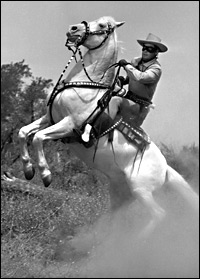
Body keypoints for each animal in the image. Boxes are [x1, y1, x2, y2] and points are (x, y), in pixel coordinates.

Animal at [18, 15, 198, 238]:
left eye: (103, 26)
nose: (73, 29)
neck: (86, 85)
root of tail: (165, 167)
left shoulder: (68, 124)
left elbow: (38, 138)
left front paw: (45, 174)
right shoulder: (49, 118)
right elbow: (23, 132)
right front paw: (28, 169)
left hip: (141, 189)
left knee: (159, 214)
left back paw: (134, 242)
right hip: (121, 194)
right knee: (115, 218)